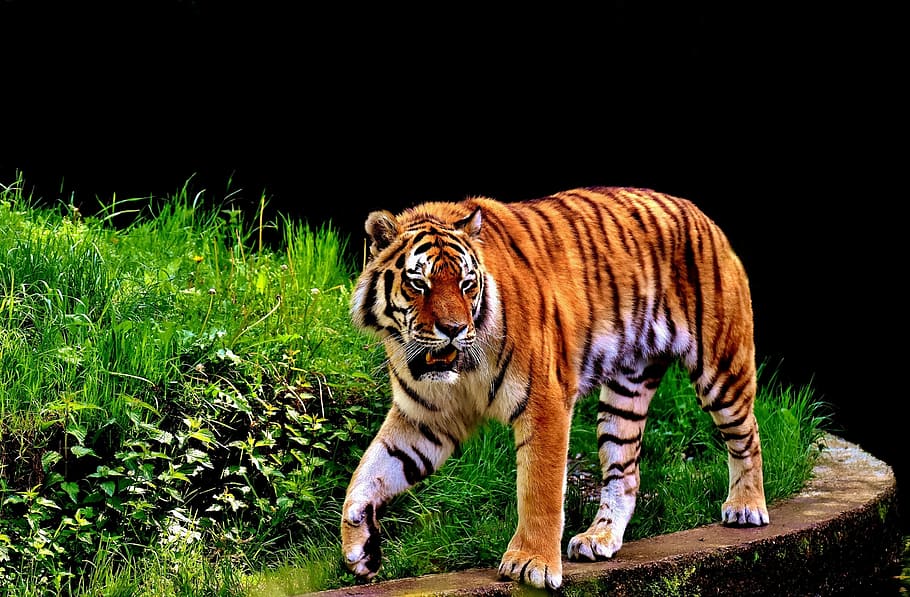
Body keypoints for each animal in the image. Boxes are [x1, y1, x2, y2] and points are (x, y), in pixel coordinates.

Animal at [340, 186, 769, 590]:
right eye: (419, 284)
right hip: (625, 394)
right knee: (626, 473)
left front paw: (532, 564)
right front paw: (358, 546)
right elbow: (369, 472)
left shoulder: (544, 401)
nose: (454, 329)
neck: (460, 369)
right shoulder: (426, 418)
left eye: (466, 284)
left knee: (747, 434)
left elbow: (539, 489)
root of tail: (697, 212)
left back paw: (746, 507)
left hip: (721, 367)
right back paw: (600, 538)